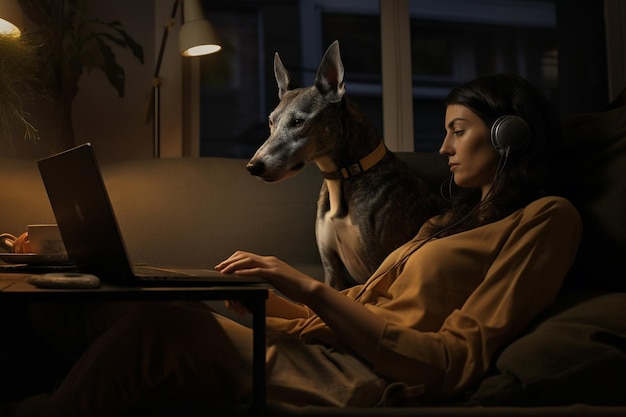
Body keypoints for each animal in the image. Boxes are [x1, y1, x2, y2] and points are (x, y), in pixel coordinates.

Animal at [244, 42, 438, 290]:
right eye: (271, 121)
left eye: (298, 122)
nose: (253, 166)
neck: (342, 178)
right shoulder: (332, 268)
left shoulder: (378, 267)